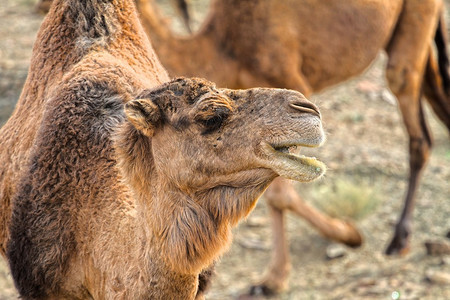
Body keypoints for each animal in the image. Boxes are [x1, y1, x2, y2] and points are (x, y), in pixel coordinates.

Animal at [136, 0, 450, 296]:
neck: (224, 45)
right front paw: (273, 279)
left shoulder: (291, 84)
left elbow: (281, 192)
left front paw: (347, 235)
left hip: (415, 26)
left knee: (415, 122)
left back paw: (400, 240)